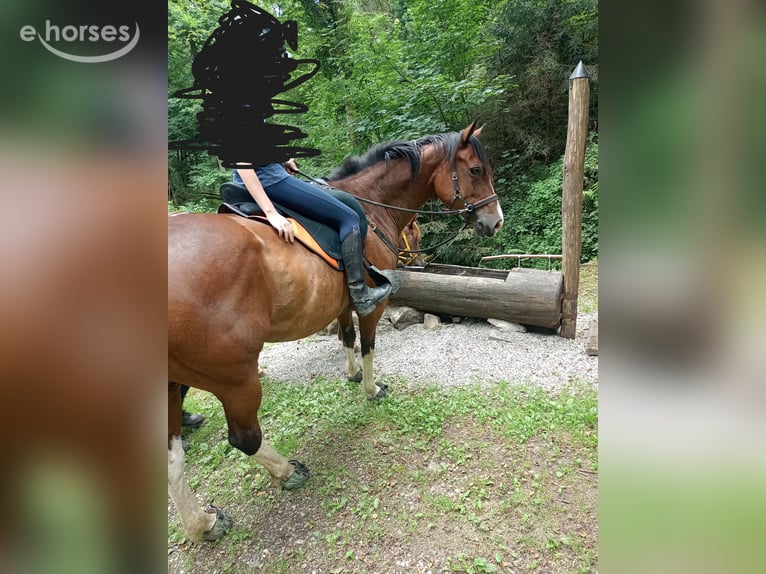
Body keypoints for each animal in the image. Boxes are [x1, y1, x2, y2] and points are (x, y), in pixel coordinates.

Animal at [168, 122, 503, 542]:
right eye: (475, 170)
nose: (496, 221)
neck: (372, 206)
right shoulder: (372, 303)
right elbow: (369, 344)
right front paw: (371, 388)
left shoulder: (341, 302)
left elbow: (346, 337)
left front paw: (352, 374)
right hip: (235, 377)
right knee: (244, 438)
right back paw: (287, 472)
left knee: (171, 455)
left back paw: (203, 523)